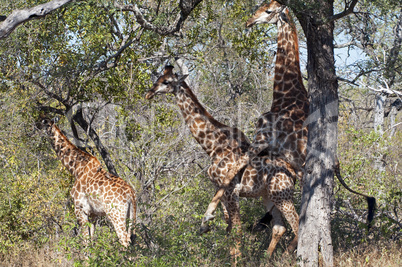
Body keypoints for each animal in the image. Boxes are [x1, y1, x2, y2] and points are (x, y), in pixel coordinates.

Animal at [38, 118, 137, 248]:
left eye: (45, 123)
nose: (37, 126)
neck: (77, 169)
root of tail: (131, 193)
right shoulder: (93, 214)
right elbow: (91, 240)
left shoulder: (80, 209)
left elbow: (85, 241)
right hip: (131, 215)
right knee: (131, 239)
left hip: (116, 215)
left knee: (124, 240)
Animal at [146, 65, 300, 258]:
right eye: (158, 77)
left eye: (166, 81)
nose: (149, 93)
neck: (213, 147)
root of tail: (293, 173)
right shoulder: (222, 191)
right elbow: (228, 229)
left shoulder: (232, 191)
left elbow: (237, 230)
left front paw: (238, 260)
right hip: (270, 196)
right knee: (279, 227)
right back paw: (267, 259)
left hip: (282, 195)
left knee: (298, 224)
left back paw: (289, 256)